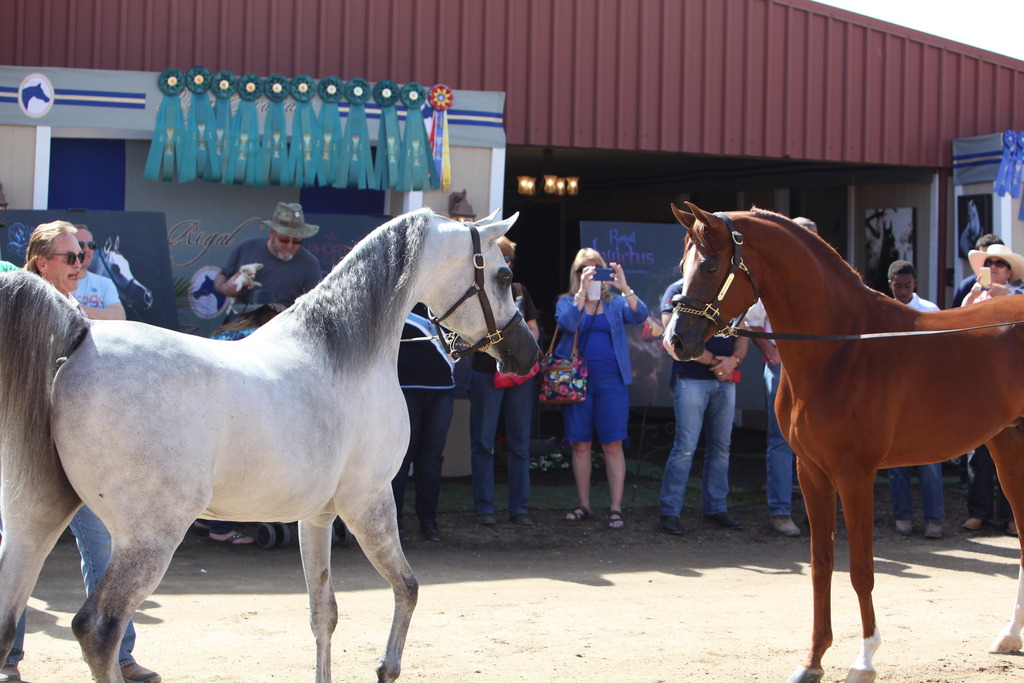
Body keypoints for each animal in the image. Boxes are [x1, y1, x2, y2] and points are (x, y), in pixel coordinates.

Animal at [0, 208, 540, 682]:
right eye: (504, 273)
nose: (527, 354)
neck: (346, 356)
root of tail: (80, 340)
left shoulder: (317, 517)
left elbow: (324, 612)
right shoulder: (369, 501)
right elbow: (407, 587)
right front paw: (386, 669)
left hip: (37, 519)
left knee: (10, 623)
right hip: (149, 537)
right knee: (99, 630)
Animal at [661, 202, 1024, 683]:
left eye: (709, 264)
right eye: (681, 265)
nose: (676, 341)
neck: (840, 348)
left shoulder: (855, 475)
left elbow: (861, 569)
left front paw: (864, 659)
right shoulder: (811, 472)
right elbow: (822, 567)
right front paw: (812, 660)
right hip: (1008, 445)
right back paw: (1010, 635)